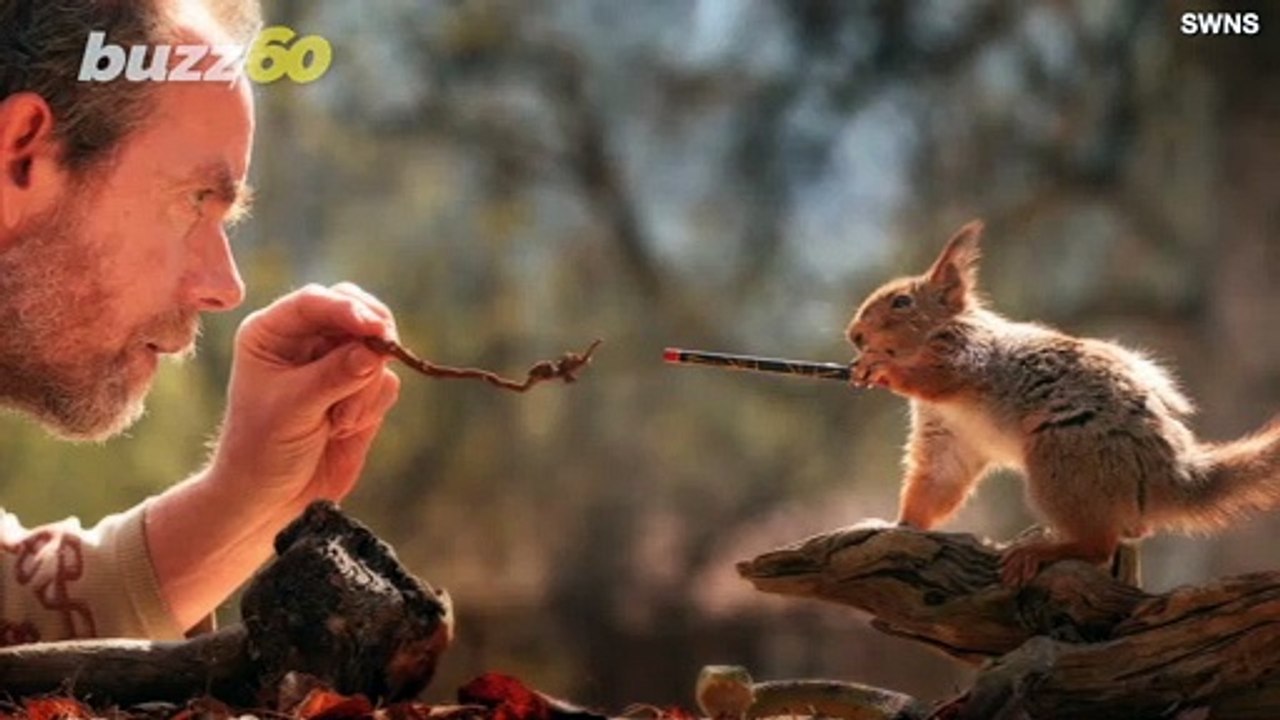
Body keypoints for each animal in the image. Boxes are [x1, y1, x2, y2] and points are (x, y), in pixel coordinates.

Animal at [844, 220, 1280, 585]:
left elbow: (932, 378)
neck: (940, 330)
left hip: (1063, 458)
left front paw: (880, 368)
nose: (854, 335)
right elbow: (935, 483)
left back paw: (1039, 552)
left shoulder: (967, 358)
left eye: (902, 302)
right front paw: (900, 525)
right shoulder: (947, 436)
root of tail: (1169, 477)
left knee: (1097, 547)